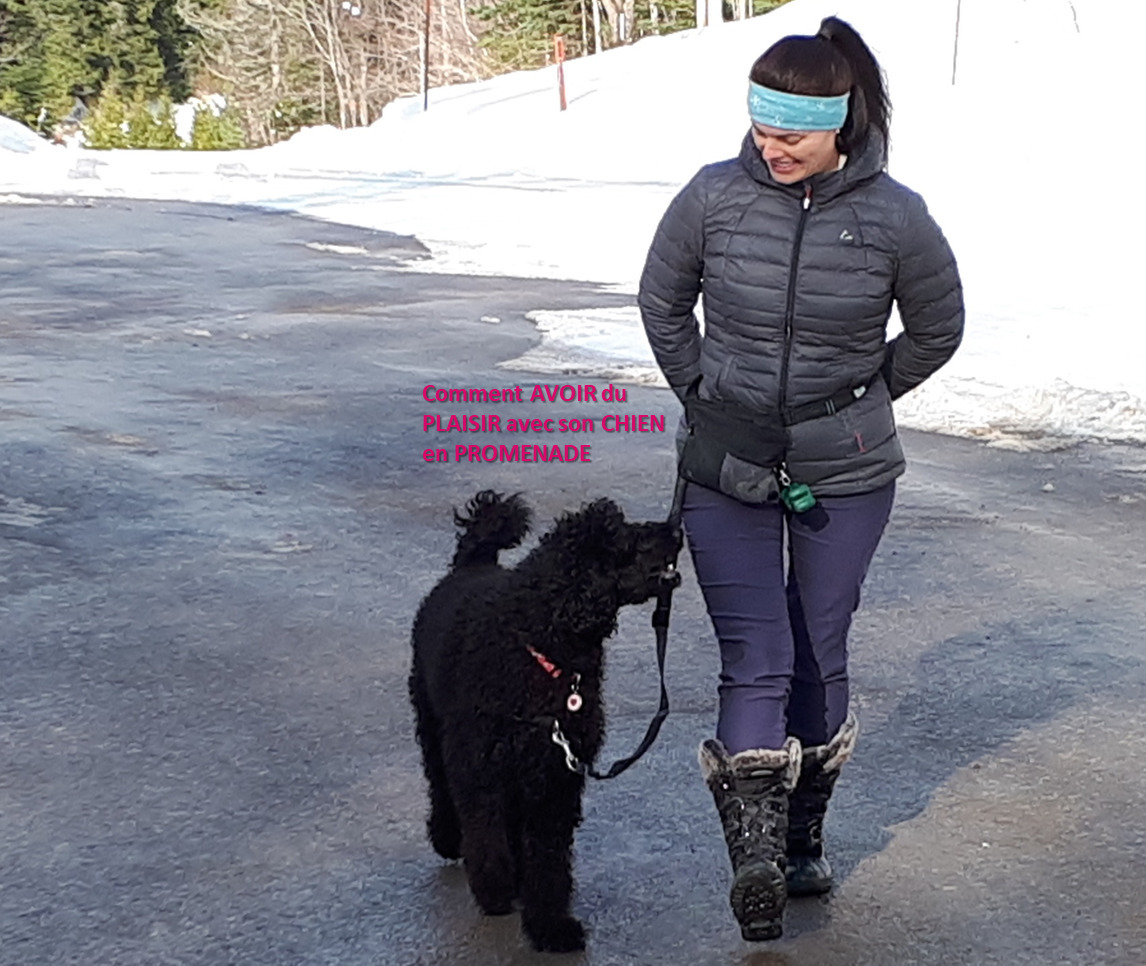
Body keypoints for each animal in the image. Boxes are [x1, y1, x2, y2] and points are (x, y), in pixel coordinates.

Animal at [409, 490, 680, 952]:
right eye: (625, 538)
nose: (677, 530)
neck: (540, 646)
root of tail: (471, 564)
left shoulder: (555, 779)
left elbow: (549, 861)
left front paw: (551, 924)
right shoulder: (481, 770)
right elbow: (486, 836)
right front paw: (496, 888)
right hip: (432, 724)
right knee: (440, 786)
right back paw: (448, 838)